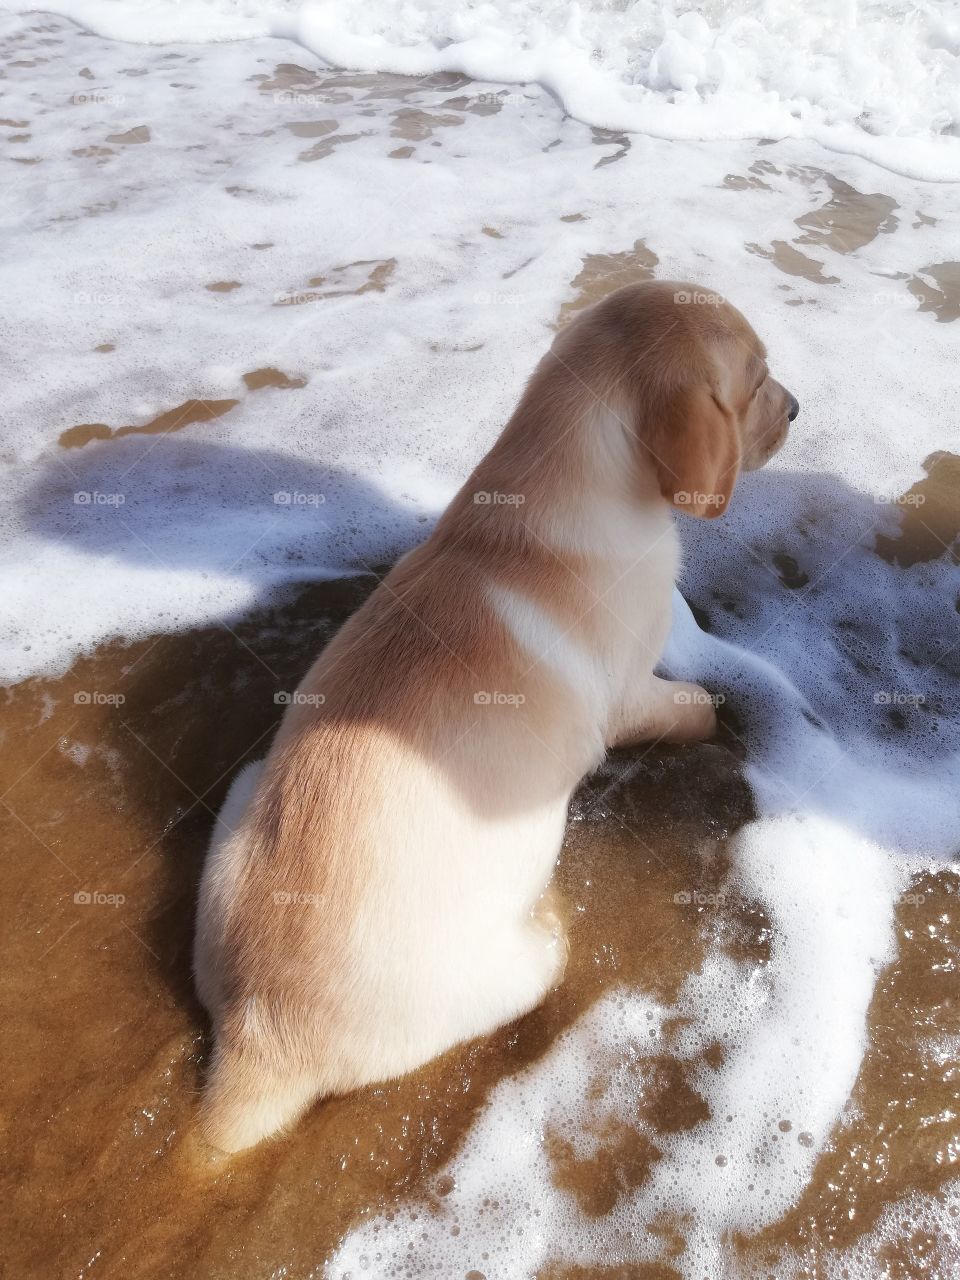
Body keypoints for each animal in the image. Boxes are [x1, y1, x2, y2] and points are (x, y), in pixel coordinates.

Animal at [193, 280, 798, 1152]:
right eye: (755, 382)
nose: (800, 409)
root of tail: (258, 1039)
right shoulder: (628, 694)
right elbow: (693, 707)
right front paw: (717, 709)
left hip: (242, 800)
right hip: (509, 968)